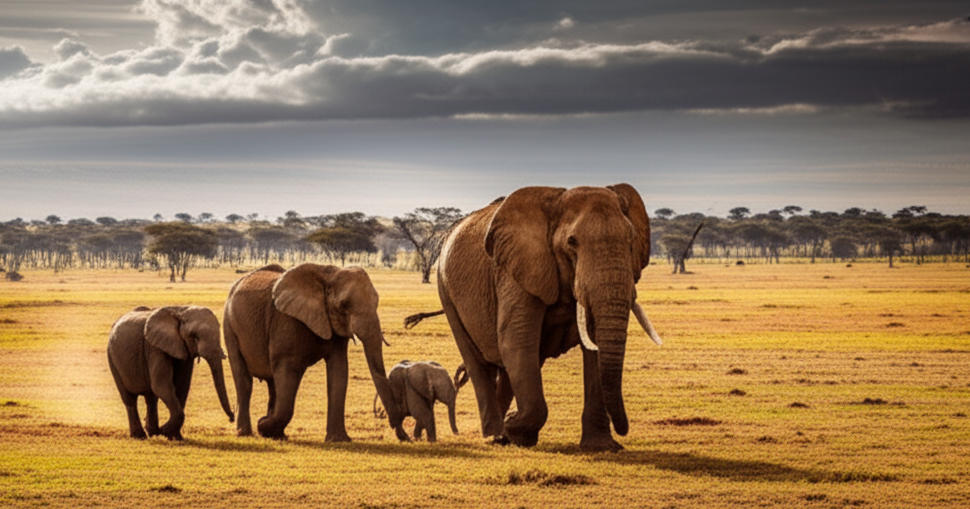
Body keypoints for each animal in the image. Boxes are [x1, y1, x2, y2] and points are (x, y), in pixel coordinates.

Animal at [107, 306, 235, 440]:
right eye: (194, 337)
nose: (232, 417)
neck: (180, 310)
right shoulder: (155, 348)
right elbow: (162, 386)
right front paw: (165, 431)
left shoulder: (182, 350)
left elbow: (182, 387)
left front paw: (175, 437)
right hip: (112, 359)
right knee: (129, 399)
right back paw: (140, 436)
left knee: (151, 398)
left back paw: (153, 433)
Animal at [223, 264, 407, 441]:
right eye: (344, 305)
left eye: (377, 302)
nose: (403, 436)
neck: (328, 274)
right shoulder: (288, 321)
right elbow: (288, 369)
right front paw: (263, 425)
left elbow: (339, 370)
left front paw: (338, 440)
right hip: (229, 325)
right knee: (244, 381)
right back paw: (245, 433)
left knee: (272, 383)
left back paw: (276, 434)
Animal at [412, 184, 663, 452]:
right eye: (572, 242)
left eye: (631, 239)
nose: (623, 430)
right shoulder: (516, 270)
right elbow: (517, 340)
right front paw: (513, 427)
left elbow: (593, 346)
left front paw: (602, 447)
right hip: (446, 291)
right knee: (479, 363)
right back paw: (494, 434)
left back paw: (503, 436)